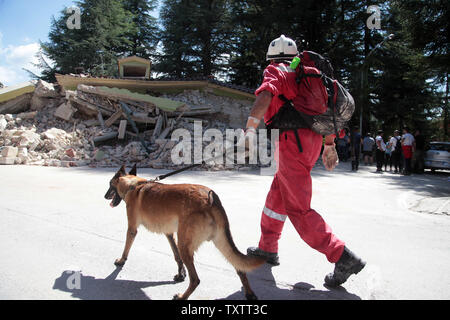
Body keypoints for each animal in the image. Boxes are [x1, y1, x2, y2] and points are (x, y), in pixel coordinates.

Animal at [103, 165, 266, 300]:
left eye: (110, 185)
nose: (104, 196)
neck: (134, 185)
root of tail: (212, 200)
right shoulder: (170, 234)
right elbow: (176, 257)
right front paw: (181, 274)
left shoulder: (132, 229)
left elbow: (126, 247)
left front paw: (121, 260)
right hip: (218, 242)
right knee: (240, 268)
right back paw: (249, 293)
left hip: (186, 245)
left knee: (195, 280)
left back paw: (182, 297)